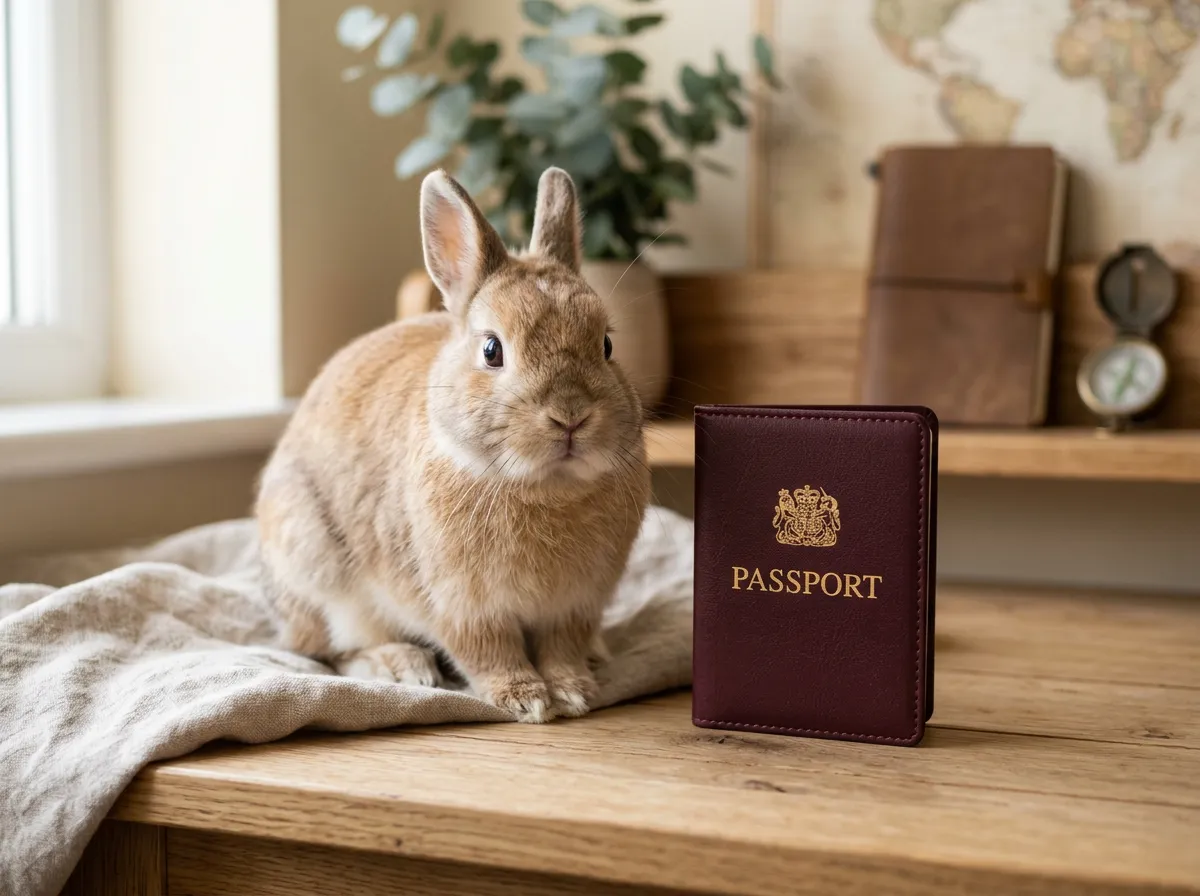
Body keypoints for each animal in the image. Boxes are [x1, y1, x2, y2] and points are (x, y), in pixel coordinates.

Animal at [255, 167, 651, 723]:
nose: (571, 416)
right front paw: (525, 699)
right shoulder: (462, 607)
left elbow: (563, 647)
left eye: (607, 345)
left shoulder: (576, 605)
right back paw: (402, 666)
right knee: (333, 650)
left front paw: (573, 690)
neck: (545, 486)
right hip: (320, 574)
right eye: (492, 350)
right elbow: (488, 652)